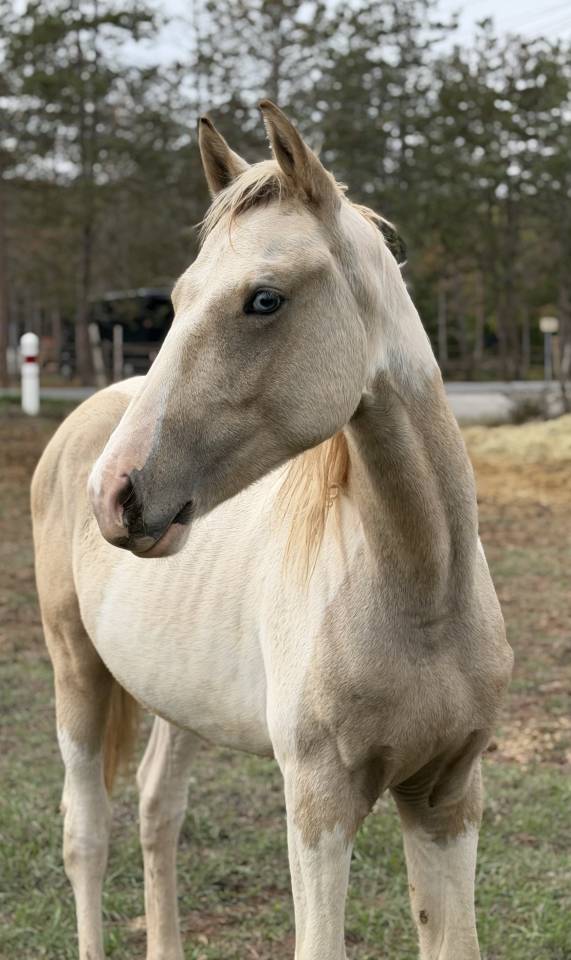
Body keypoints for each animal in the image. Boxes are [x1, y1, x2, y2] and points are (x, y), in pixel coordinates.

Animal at [32, 100, 513, 960]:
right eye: (177, 296)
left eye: (264, 299)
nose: (113, 493)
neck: (422, 595)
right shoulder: (318, 804)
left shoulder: (446, 795)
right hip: (75, 669)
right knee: (85, 835)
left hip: (176, 694)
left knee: (157, 808)